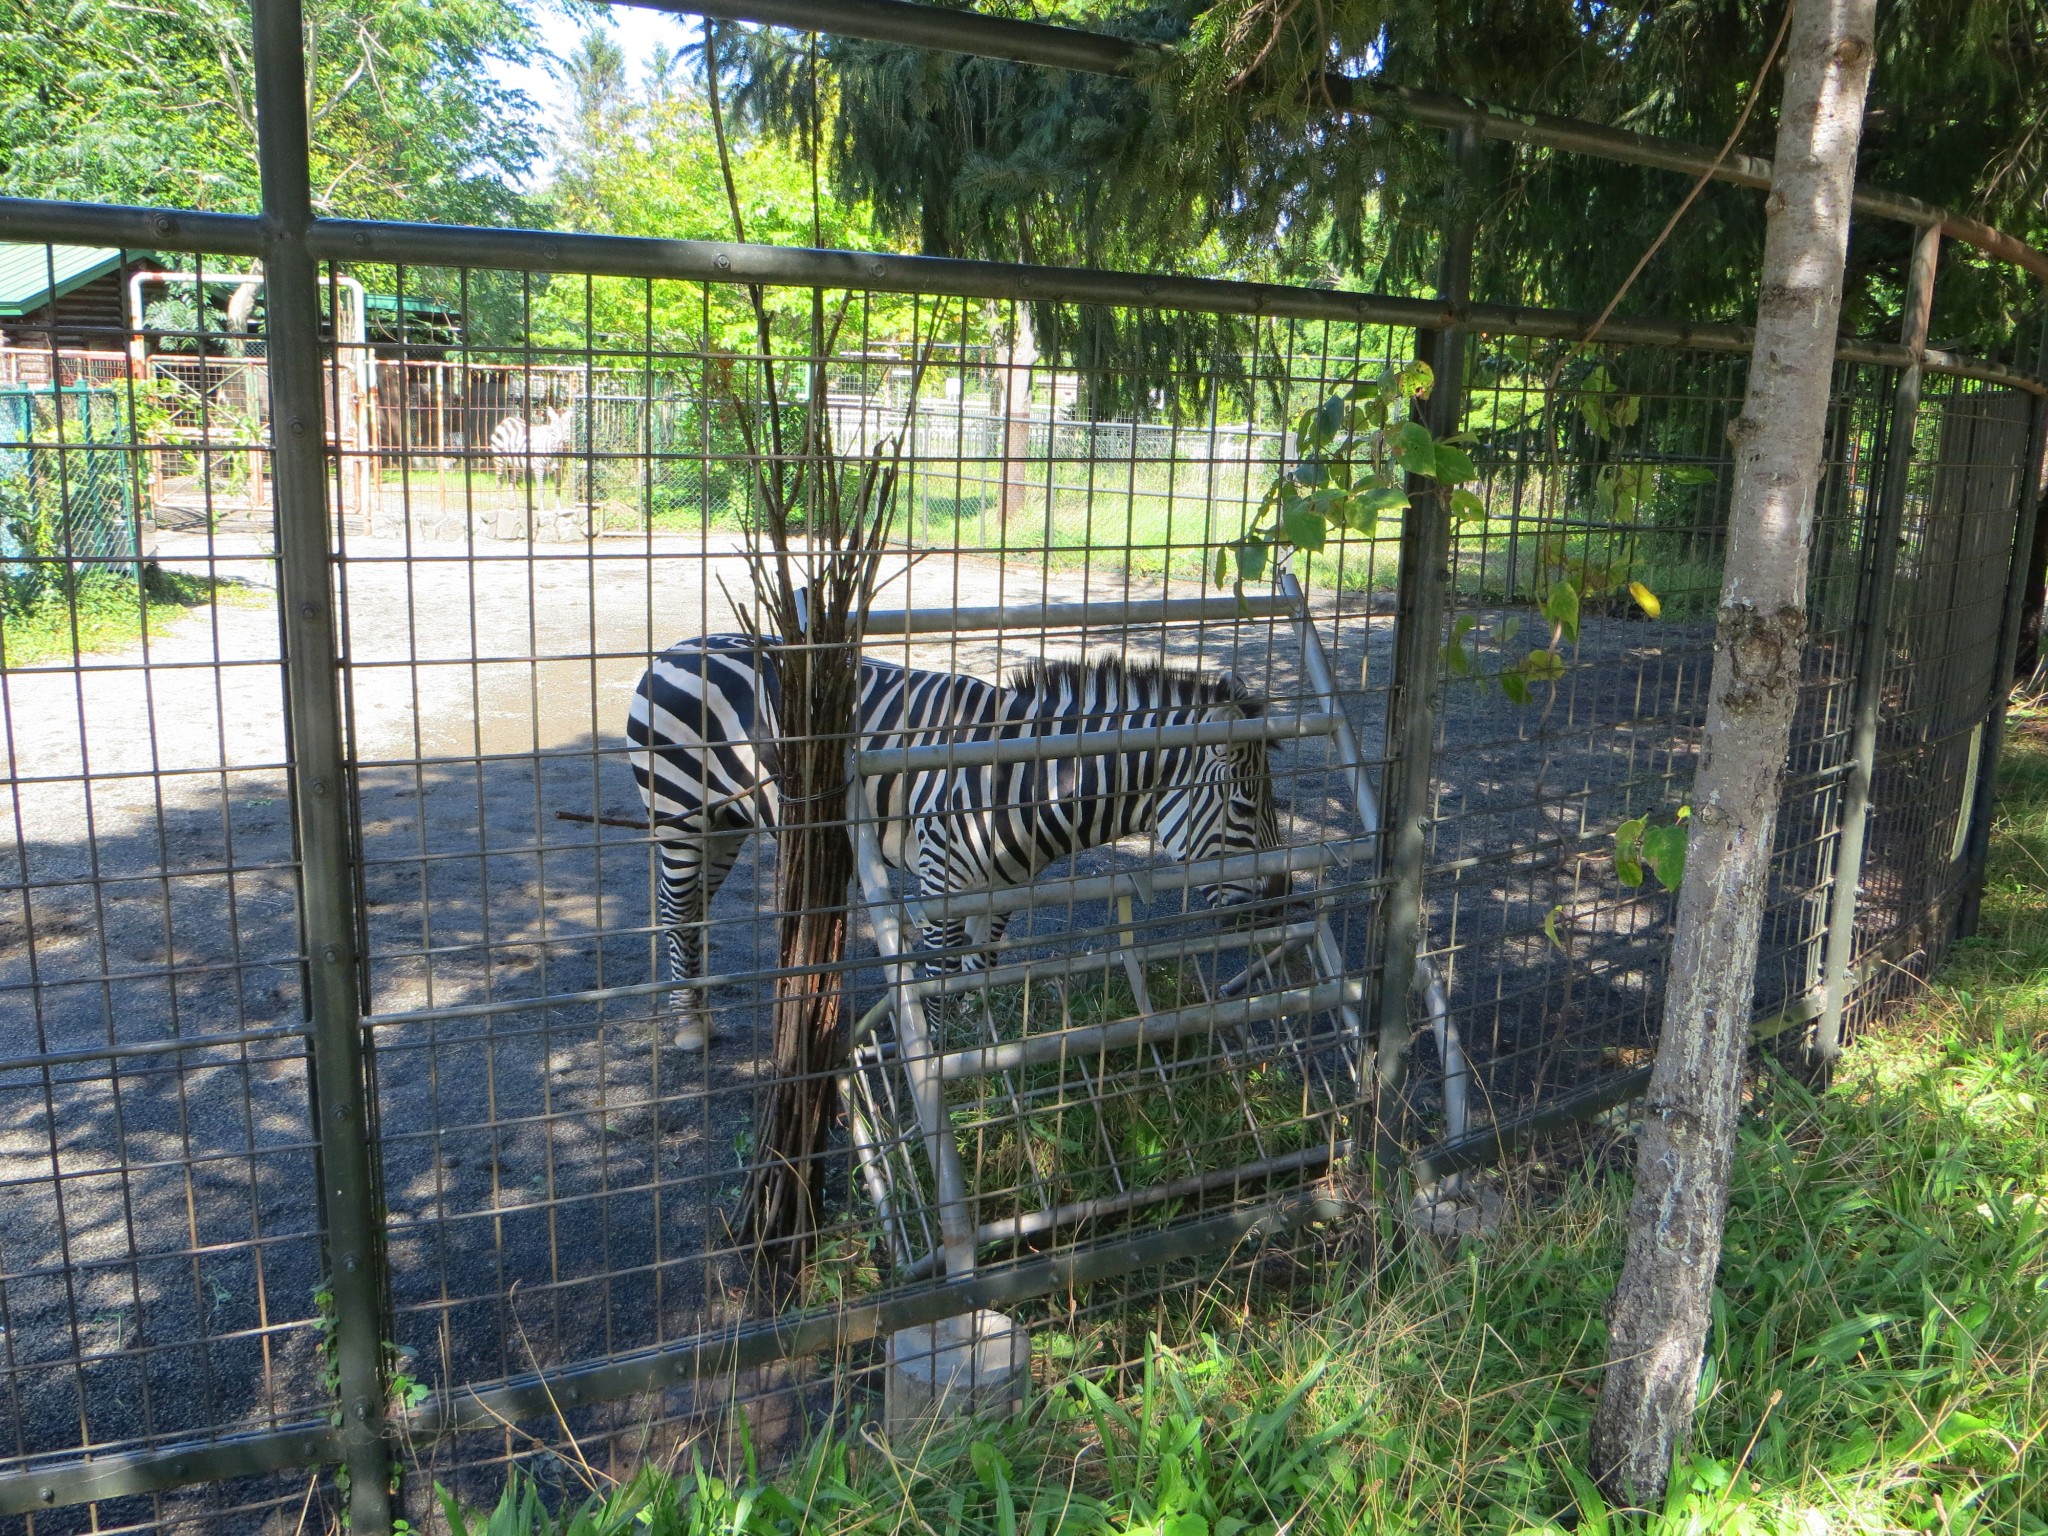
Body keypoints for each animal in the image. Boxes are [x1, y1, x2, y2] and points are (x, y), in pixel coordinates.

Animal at [630, 634, 1286, 1048]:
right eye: (1246, 807)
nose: (1282, 903)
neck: (1025, 779)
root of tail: (683, 645)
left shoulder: (1006, 888)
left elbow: (982, 969)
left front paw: (982, 1054)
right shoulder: (942, 885)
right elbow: (941, 986)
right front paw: (949, 1062)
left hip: (727, 824)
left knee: (694, 909)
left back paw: (699, 1005)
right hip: (681, 816)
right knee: (675, 908)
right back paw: (688, 1024)